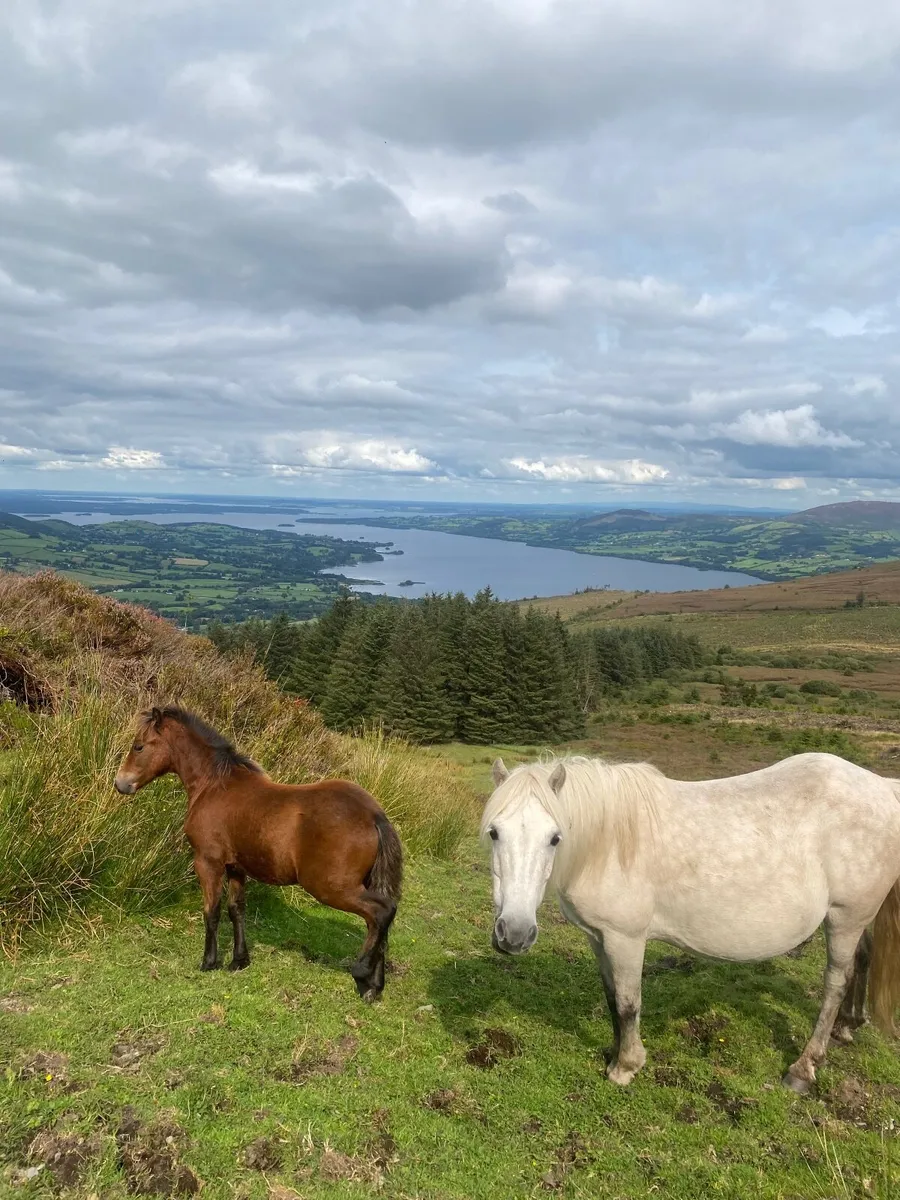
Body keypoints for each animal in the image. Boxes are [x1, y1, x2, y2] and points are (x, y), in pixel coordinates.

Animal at [114, 706, 402, 1002]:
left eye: (138, 746)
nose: (120, 783)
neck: (214, 785)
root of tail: (374, 816)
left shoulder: (208, 862)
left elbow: (212, 911)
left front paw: (209, 962)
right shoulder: (236, 867)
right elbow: (236, 909)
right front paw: (239, 960)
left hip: (331, 887)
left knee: (381, 912)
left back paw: (362, 975)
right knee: (378, 923)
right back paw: (375, 984)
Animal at [482, 751, 900, 1091]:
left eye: (555, 837)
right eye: (494, 832)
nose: (514, 934)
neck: (607, 844)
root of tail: (884, 787)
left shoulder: (625, 938)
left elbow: (628, 1003)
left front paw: (625, 1067)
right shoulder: (599, 938)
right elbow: (611, 996)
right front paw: (613, 1052)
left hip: (847, 917)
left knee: (835, 982)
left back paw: (804, 1068)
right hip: (852, 918)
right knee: (862, 959)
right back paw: (847, 1026)